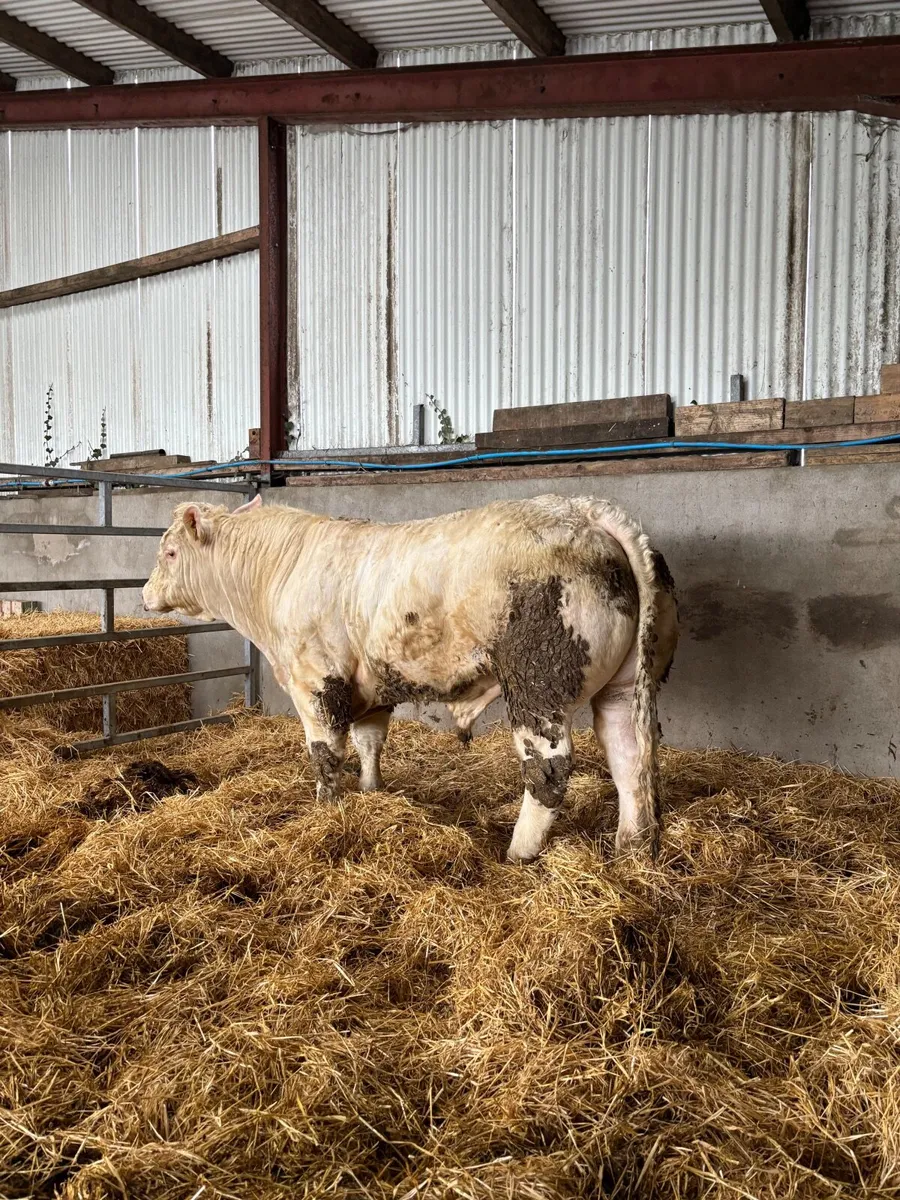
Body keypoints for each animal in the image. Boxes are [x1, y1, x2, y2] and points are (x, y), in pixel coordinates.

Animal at [142, 494, 678, 863]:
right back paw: (631, 847)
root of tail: (586, 511)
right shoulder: (370, 685)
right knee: (629, 757)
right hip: (624, 686)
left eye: (169, 553)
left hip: (537, 686)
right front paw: (371, 792)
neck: (280, 572)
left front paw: (325, 809)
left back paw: (518, 851)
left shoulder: (315, 681)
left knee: (549, 771)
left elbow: (324, 755)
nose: (145, 595)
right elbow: (369, 742)